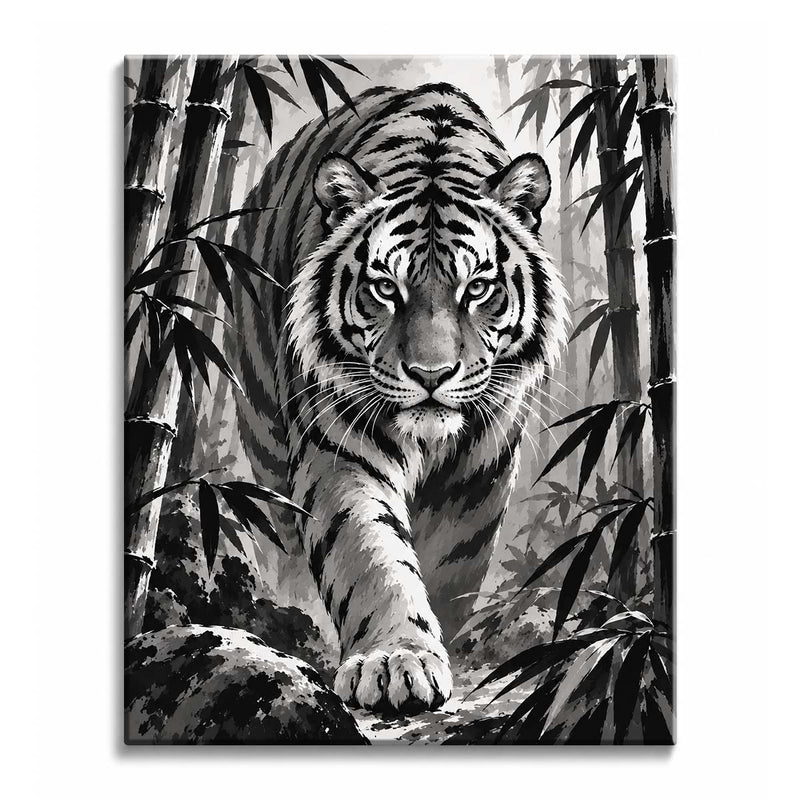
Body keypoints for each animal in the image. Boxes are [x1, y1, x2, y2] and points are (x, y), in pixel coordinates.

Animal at [230, 82, 568, 715]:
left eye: (477, 288)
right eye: (386, 288)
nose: (430, 374)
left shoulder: (479, 476)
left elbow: (449, 568)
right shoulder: (340, 450)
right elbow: (370, 554)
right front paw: (395, 659)